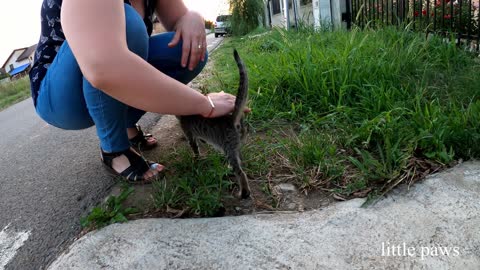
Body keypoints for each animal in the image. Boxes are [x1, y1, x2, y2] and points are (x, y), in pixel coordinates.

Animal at [177, 49, 251, 198]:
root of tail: (233, 120)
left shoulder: (189, 134)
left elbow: (195, 149)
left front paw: (196, 159)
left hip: (228, 148)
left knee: (241, 173)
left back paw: (243, 192)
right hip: (235, 146)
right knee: (240, 160)